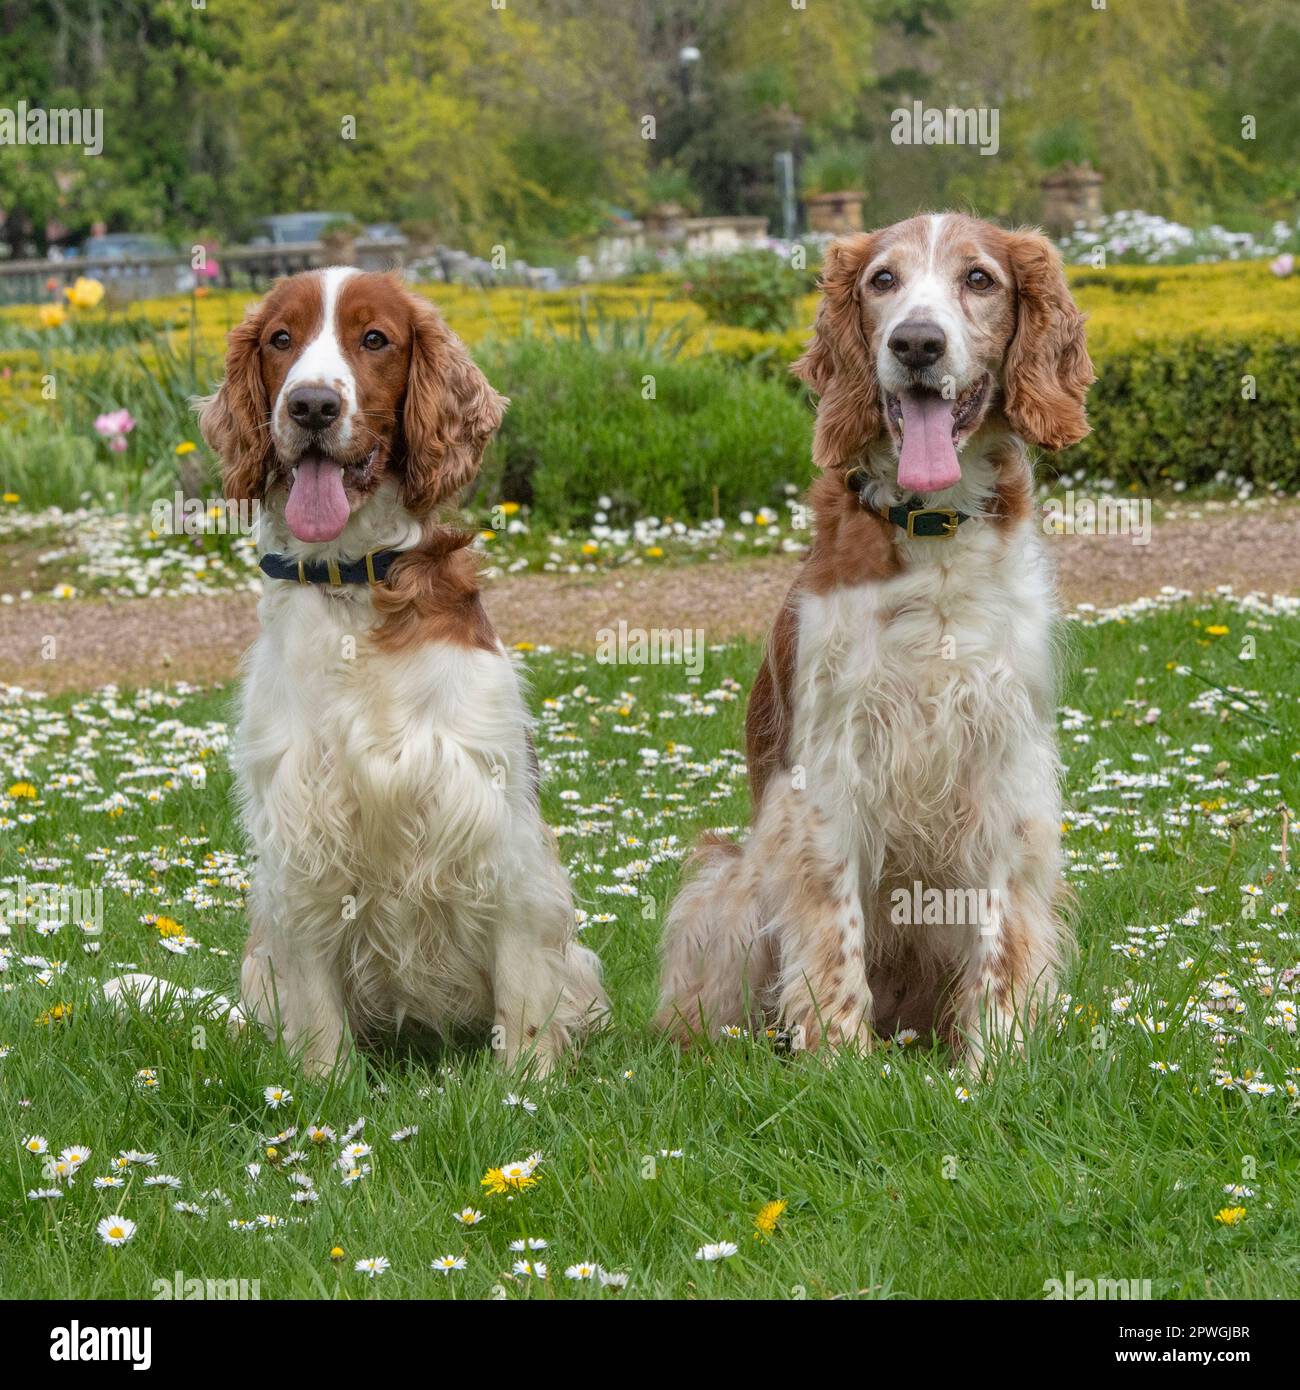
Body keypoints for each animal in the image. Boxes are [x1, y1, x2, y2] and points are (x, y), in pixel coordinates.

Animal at [190, 268, 606, 1073]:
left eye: (375, 338)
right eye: (280, 339)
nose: (312, 405)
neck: (354, 586)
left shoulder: (500, 838)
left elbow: (522, 1001)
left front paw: (523, 1087)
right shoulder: (301, 843)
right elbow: (316, 1015)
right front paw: (323, 1086)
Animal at [656, 214, 1095, 1061]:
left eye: (979, 278)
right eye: (882, 281)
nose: (917, 343)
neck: (934, 530)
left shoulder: (1005, 765)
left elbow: (1002, 937)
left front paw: (995, 1061)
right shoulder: (830, 768)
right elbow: (834, 931)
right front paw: (838, 1060)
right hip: (728, 885)